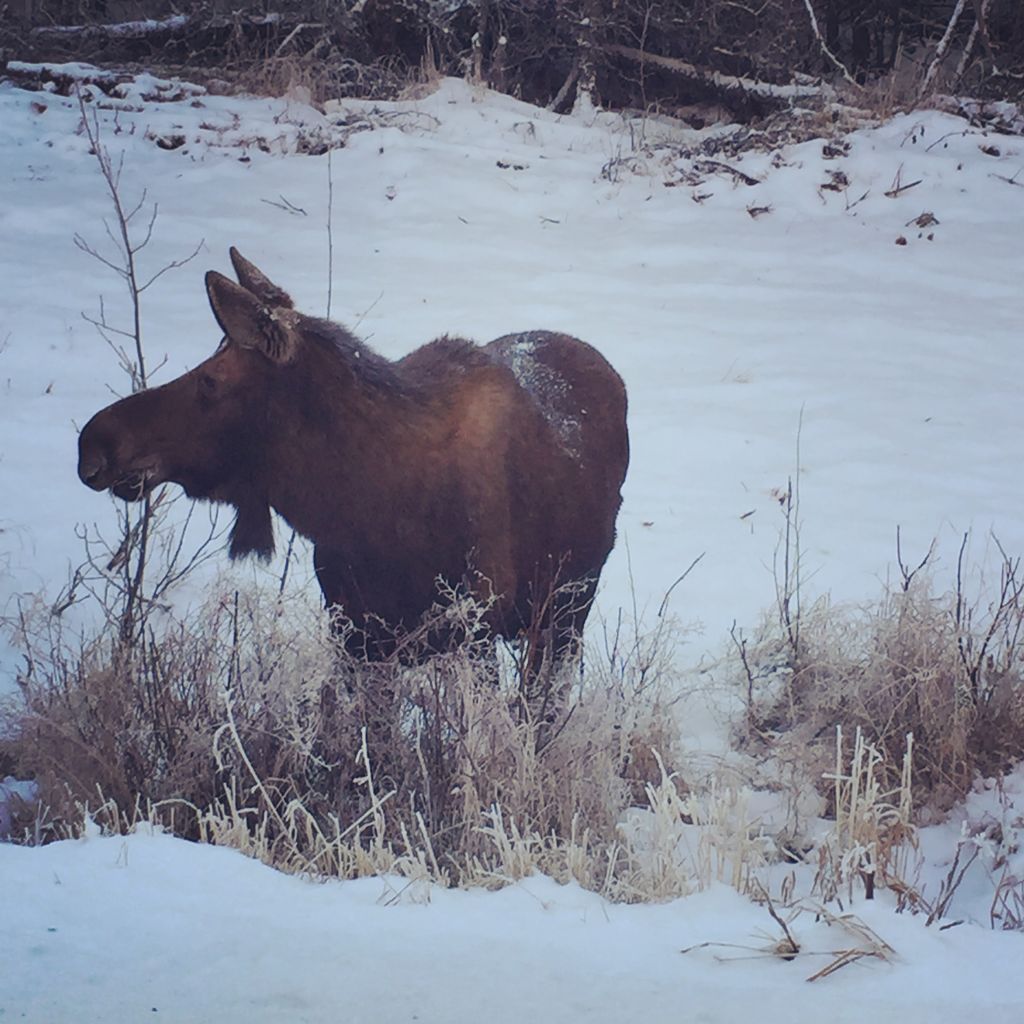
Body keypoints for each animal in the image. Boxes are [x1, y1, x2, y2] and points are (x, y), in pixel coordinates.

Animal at [75, 247, 626, 663]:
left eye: (210, 380)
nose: (93, 442)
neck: (361, 510)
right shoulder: (355, 635)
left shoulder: (474, 626)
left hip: (566, 614)